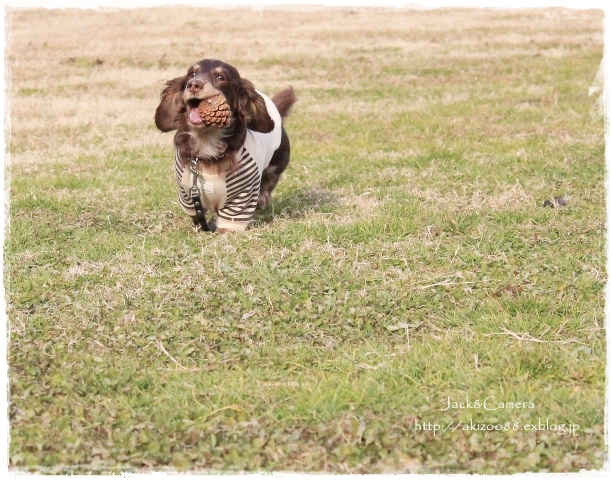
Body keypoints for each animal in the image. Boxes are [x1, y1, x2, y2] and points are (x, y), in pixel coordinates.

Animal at [154, 58, 296, 232]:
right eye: (191, 74)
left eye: (221, 77)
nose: (193, 84)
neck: (206, 142)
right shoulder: (188, 194)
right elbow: (197, 216)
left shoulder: (242, 198)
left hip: (277, 160)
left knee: (270, 179)